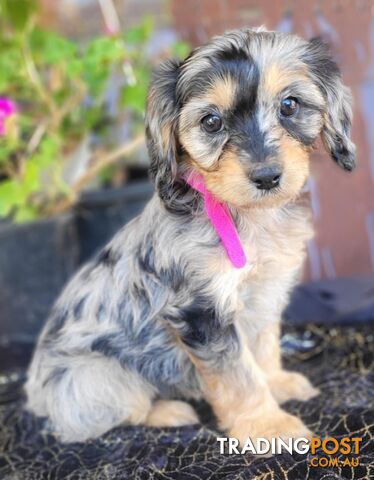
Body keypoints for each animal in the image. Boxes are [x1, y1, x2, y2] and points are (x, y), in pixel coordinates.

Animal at [25, 28, 354, 444]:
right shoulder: (202, 313)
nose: (267, 176)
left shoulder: (265, 293)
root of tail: (36, 398)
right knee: (111, 415)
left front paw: (277, 384)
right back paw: (169, 412)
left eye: (290, 105)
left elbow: (262, 348)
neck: (241, 214)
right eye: (211, 122)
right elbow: (239, 375)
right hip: (96, 379)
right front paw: (267, 424)